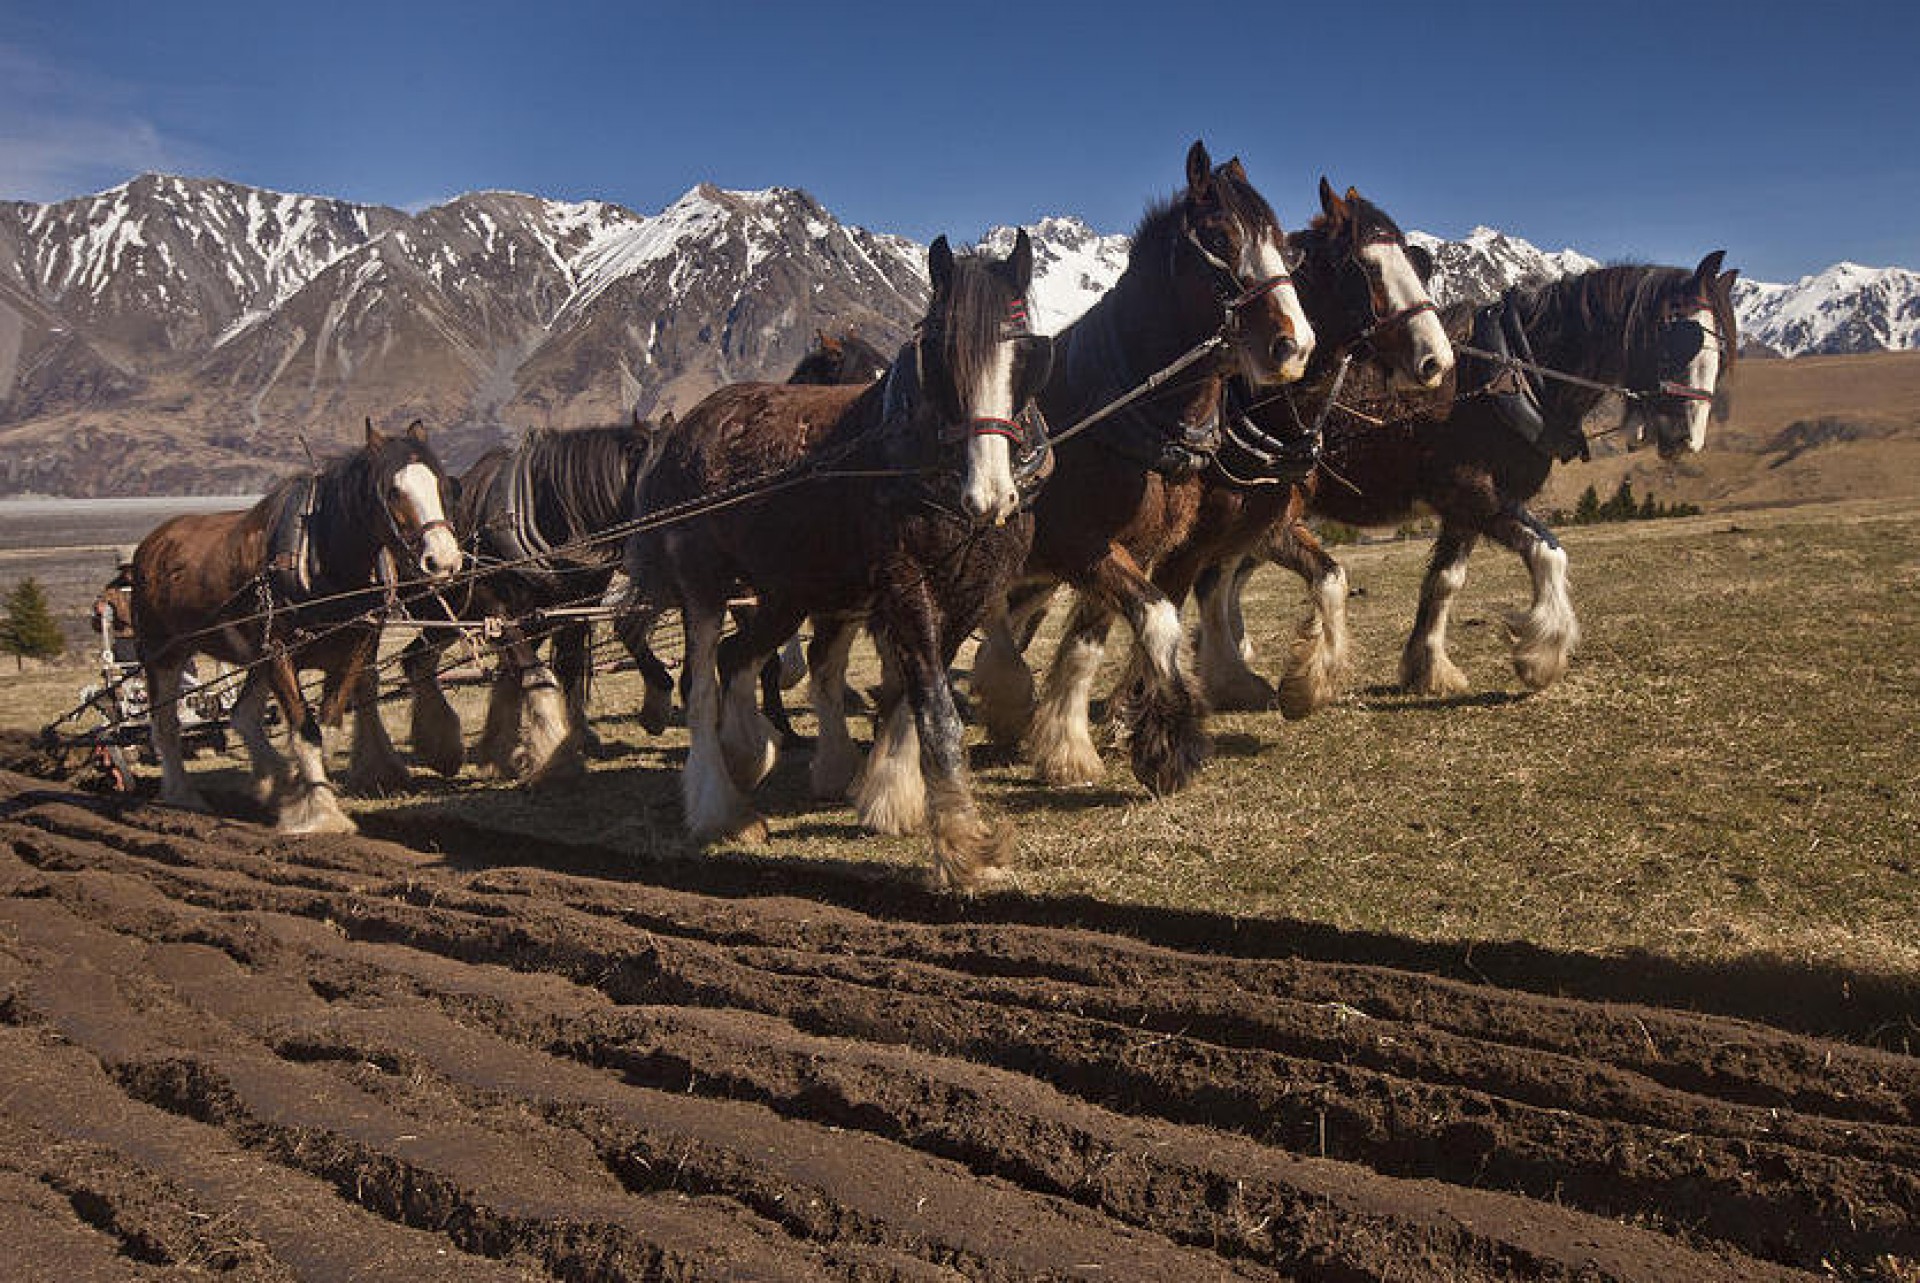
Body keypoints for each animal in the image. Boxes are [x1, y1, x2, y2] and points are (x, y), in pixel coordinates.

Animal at [134, 422, 460, 833]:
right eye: (392, 491)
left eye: (442, 486)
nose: (444, 560)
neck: (319, 561)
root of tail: (153, 544)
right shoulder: (279, 653)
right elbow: (305, 734)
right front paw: (322, 815)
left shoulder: (352, 651)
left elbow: (328, 729)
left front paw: (309, 796)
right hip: (163, 654)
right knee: (165, 726)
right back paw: (182, 794)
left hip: (254, 661)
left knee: (243, 715)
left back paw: (276, 778)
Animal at [629, 230, 1052, 887]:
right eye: (940, 356)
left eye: (1026, 356)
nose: (988, 498)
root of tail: (688, 428)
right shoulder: (904, 584)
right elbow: (935, 708)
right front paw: (965, 846)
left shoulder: (968, 593)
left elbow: (911, 693)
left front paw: (889, 796)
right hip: (704, 584)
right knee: (700, 683)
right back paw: (721, 806)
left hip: (787, 592)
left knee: (738, 658)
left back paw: (749, 753)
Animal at [967, 145, 1313, 795]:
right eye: (1219, 237)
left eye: (1285, 245)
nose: (1295, 345)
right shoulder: (1080, 544)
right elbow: (1155, 619)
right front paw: (1167, 743)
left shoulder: (1149, 546)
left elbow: (1102, 639)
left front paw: (1079, 742)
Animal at [1198, 253, 1743, 702]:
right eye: (1680, 340)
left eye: (1721, 353)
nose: (1688, 437)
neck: (1509, 374)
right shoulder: (1471, 493)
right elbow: (1547, 555)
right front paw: (1541, 657)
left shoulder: (1474, 507)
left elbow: (1447, 581)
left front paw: (1428, 667)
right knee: (1223, 574)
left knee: (1226, 577)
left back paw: (1232, 663)